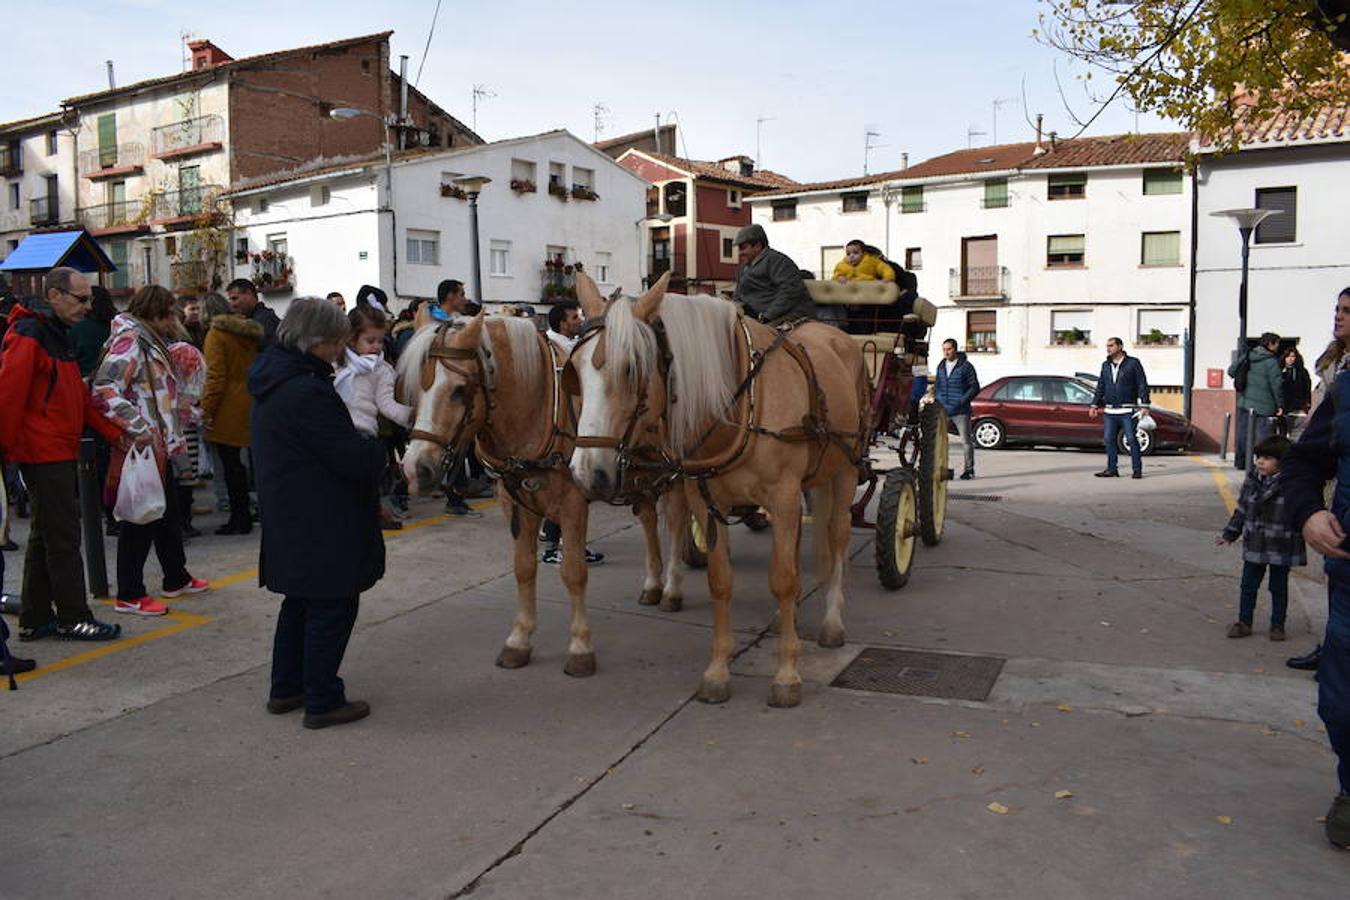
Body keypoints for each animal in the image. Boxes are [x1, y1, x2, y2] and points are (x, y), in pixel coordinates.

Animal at [396, 313, 675, 671]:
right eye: (415, 388)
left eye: (459, 390)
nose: (414, 469)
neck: (539, 412)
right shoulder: (516, 503)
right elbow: (524, 567)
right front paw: (519, 639)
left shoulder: (573, 502)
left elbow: (574, 572)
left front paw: (580, 646)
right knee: (649, 518)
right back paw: (653, 584)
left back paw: (671, 588)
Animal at [567, 275, 864, 712]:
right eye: (573, 369)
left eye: (631, 367)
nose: (588, 472)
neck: (739, 406)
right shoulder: (705, 500)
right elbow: (721, 581)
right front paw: (718, 672)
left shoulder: (783, 496)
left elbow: (783, 579)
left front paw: (786, 675)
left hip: (844, 471)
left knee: (837, 538)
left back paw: (831, 622)